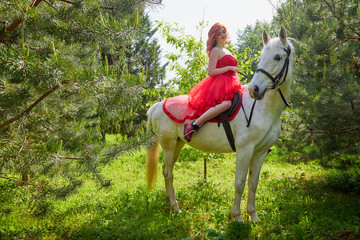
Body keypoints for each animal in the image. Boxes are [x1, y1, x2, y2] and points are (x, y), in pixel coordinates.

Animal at [145, 25, 294, 221]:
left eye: (277, 57)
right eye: (261, 57)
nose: (255, 90)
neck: (263, 108)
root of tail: (158, 105)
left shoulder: (260, 152)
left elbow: (253, 183)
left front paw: (253, 216)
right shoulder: (245, 150)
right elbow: (239, 183)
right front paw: (237, 217)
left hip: (178, 143)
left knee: (165, 170)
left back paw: (169, 201)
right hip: (168, 144)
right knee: (169, 172)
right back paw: (176, 207)